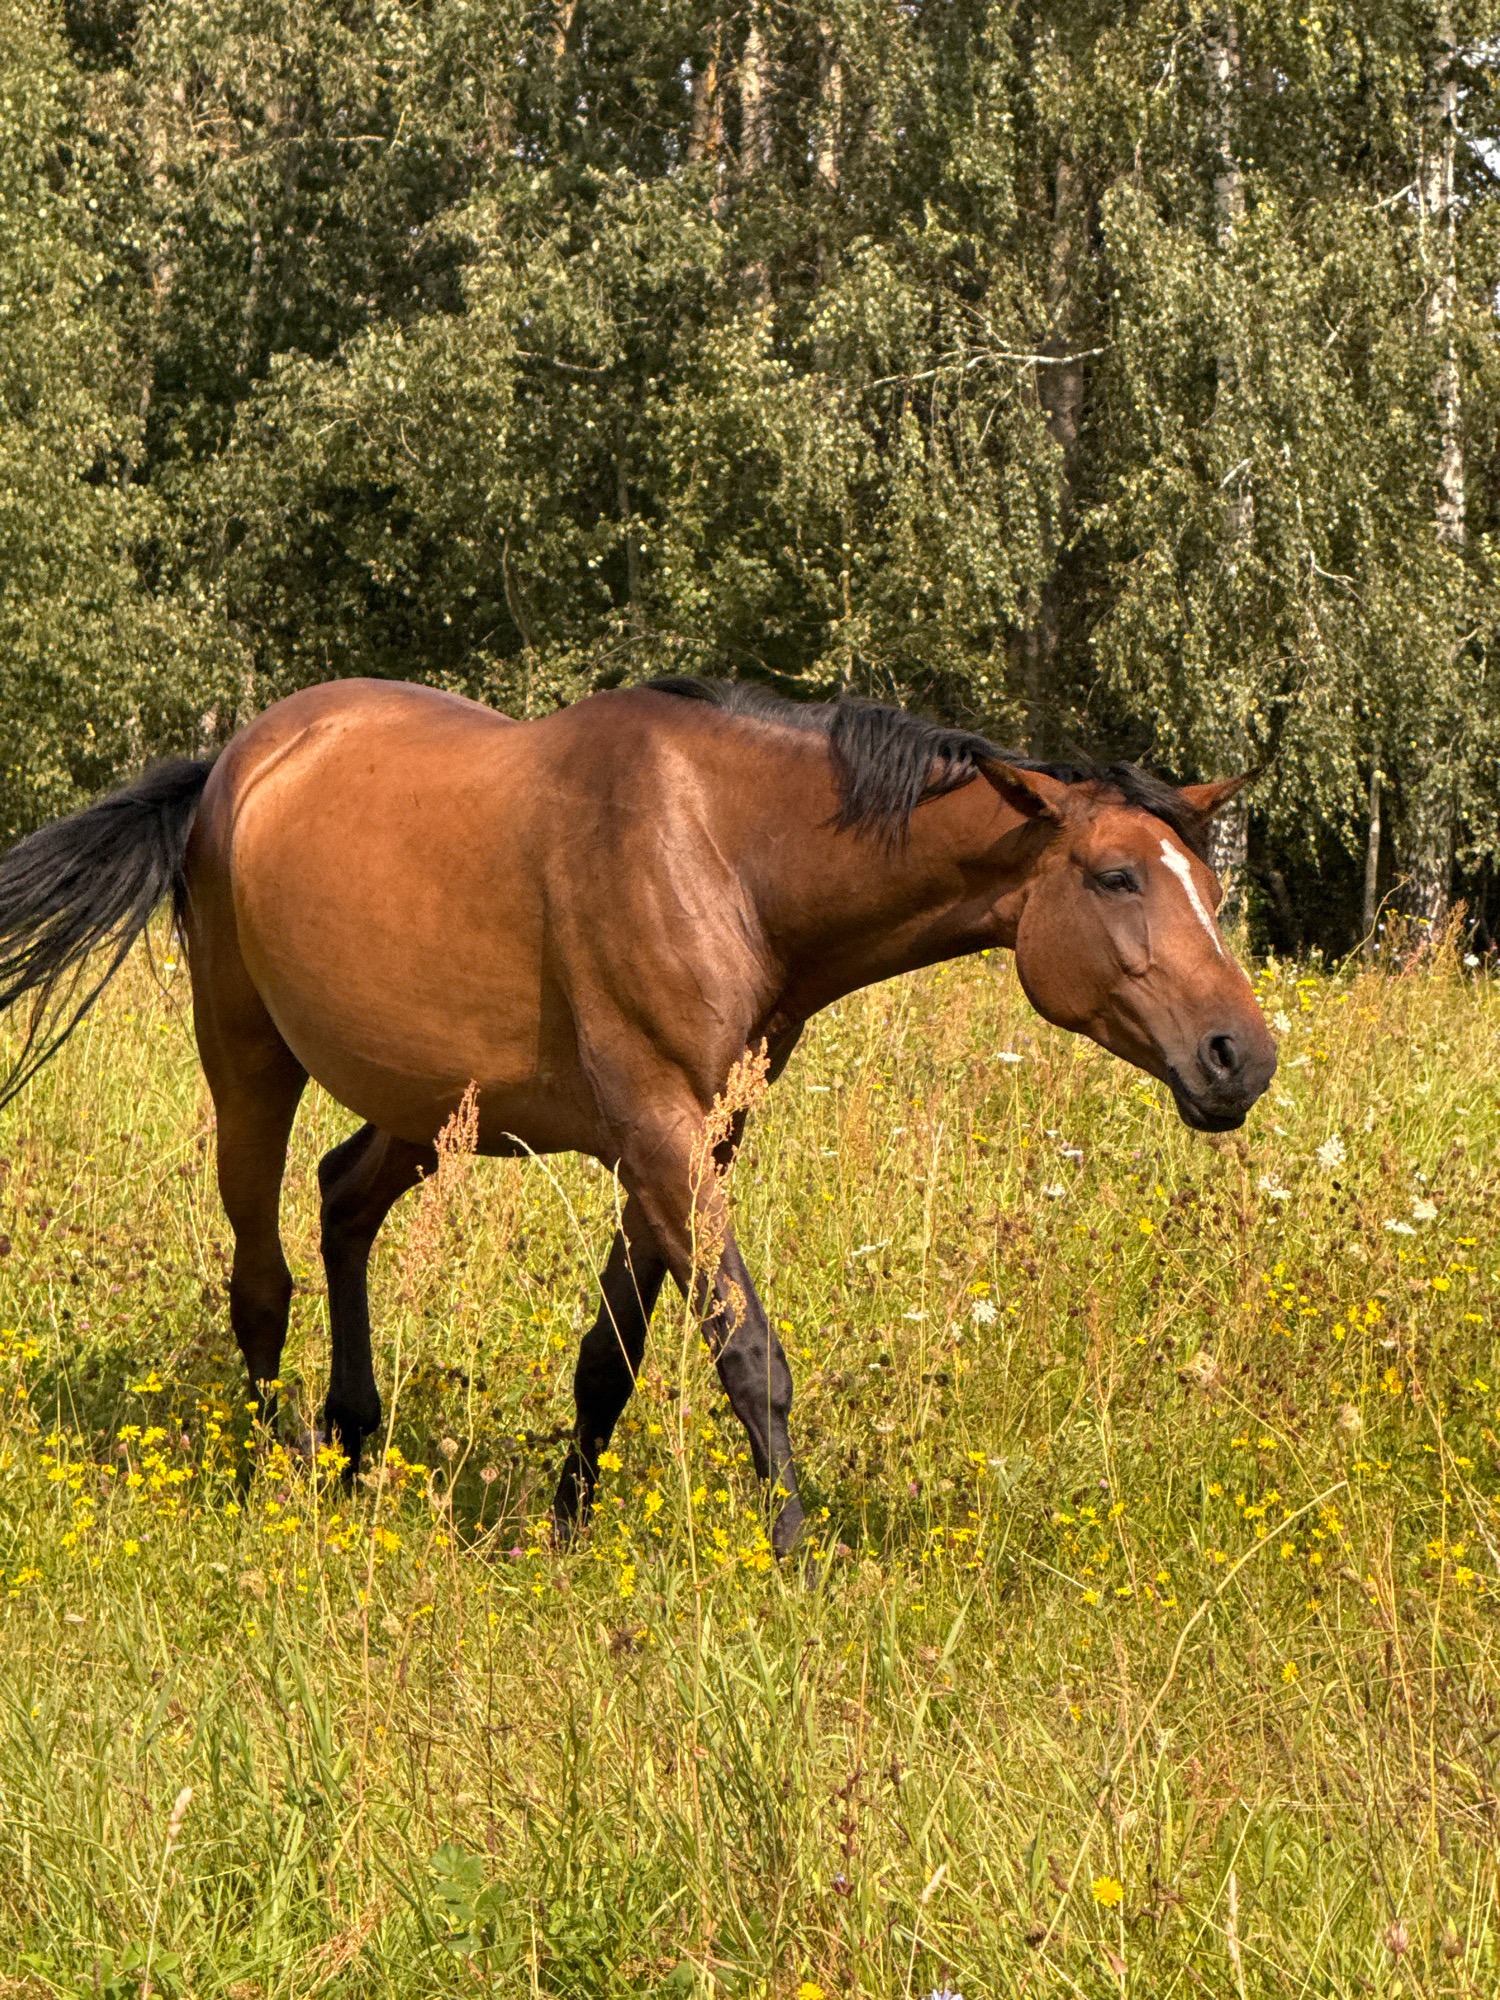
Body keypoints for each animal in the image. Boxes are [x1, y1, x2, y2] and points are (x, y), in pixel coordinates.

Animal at [0, 675, 1276, 1555]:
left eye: (1211, 886)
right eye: (1116, 875)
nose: (1242, 1057)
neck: (725, 851)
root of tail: (233, 763)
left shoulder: (686, 1140)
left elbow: (607, 1355)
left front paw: (568, 1526)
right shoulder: (660, 1133)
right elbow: (750, 1352)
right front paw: (798, 1556)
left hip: (423, 1106)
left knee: (342, 1202)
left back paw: (359, 1443)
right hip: (248, 1062)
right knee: (260, 1278)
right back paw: (280, 1476)